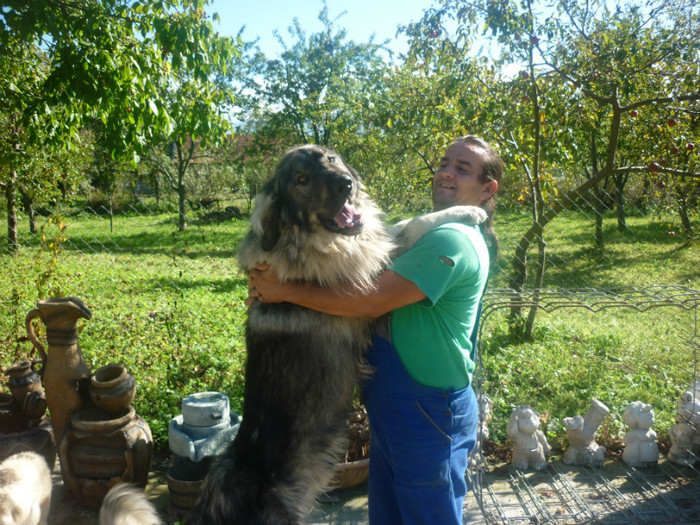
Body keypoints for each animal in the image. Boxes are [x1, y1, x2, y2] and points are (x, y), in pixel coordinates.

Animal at [191, 143, 486, 524]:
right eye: (302, 179)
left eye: (329, 159)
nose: (346, 184)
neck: (304, 239)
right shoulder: (369, 278)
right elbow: (414, 225)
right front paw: (469, 210)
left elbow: (401, 226)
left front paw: (463, 210)